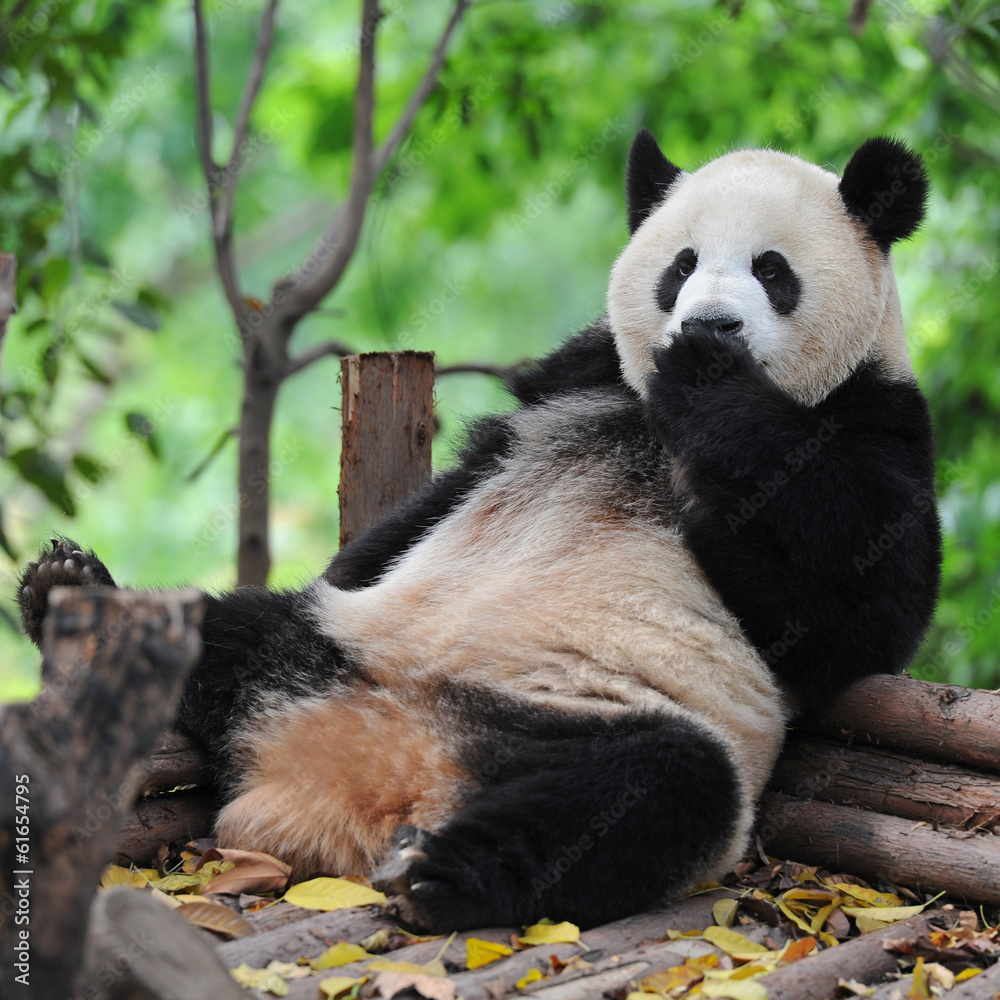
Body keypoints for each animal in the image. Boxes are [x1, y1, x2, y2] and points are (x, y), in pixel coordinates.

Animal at [18, 130, 941, 933]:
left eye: (771, 270)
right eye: (680, 267)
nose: (711, 322)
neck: (657, 412)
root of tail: (367, 782)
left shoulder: (877, 421)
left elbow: (858, 608)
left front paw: (713, 388)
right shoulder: (578, 384)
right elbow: (445, 491)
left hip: (603, 720)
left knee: (655, 788)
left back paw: (441, 876)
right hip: (329, 642)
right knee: (226, 627)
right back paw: (73, 598)